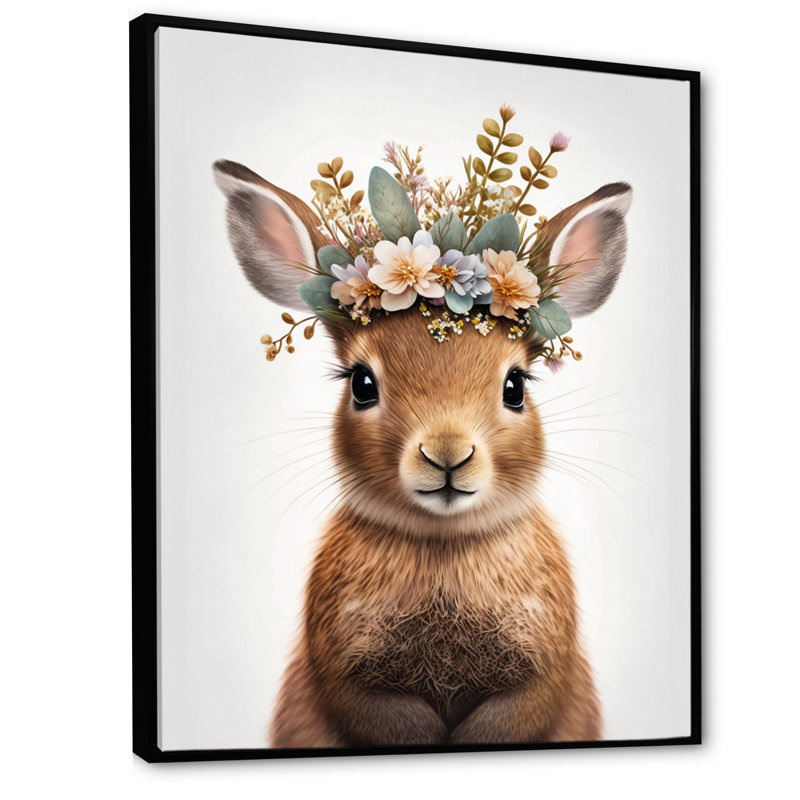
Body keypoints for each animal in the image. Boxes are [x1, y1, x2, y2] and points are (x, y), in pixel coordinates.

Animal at [214, 158, 632, 747]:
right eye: (362, 384)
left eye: (515, 387)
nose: (447, 454)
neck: (443, 542)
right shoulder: (350, 678)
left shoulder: (538, 676)